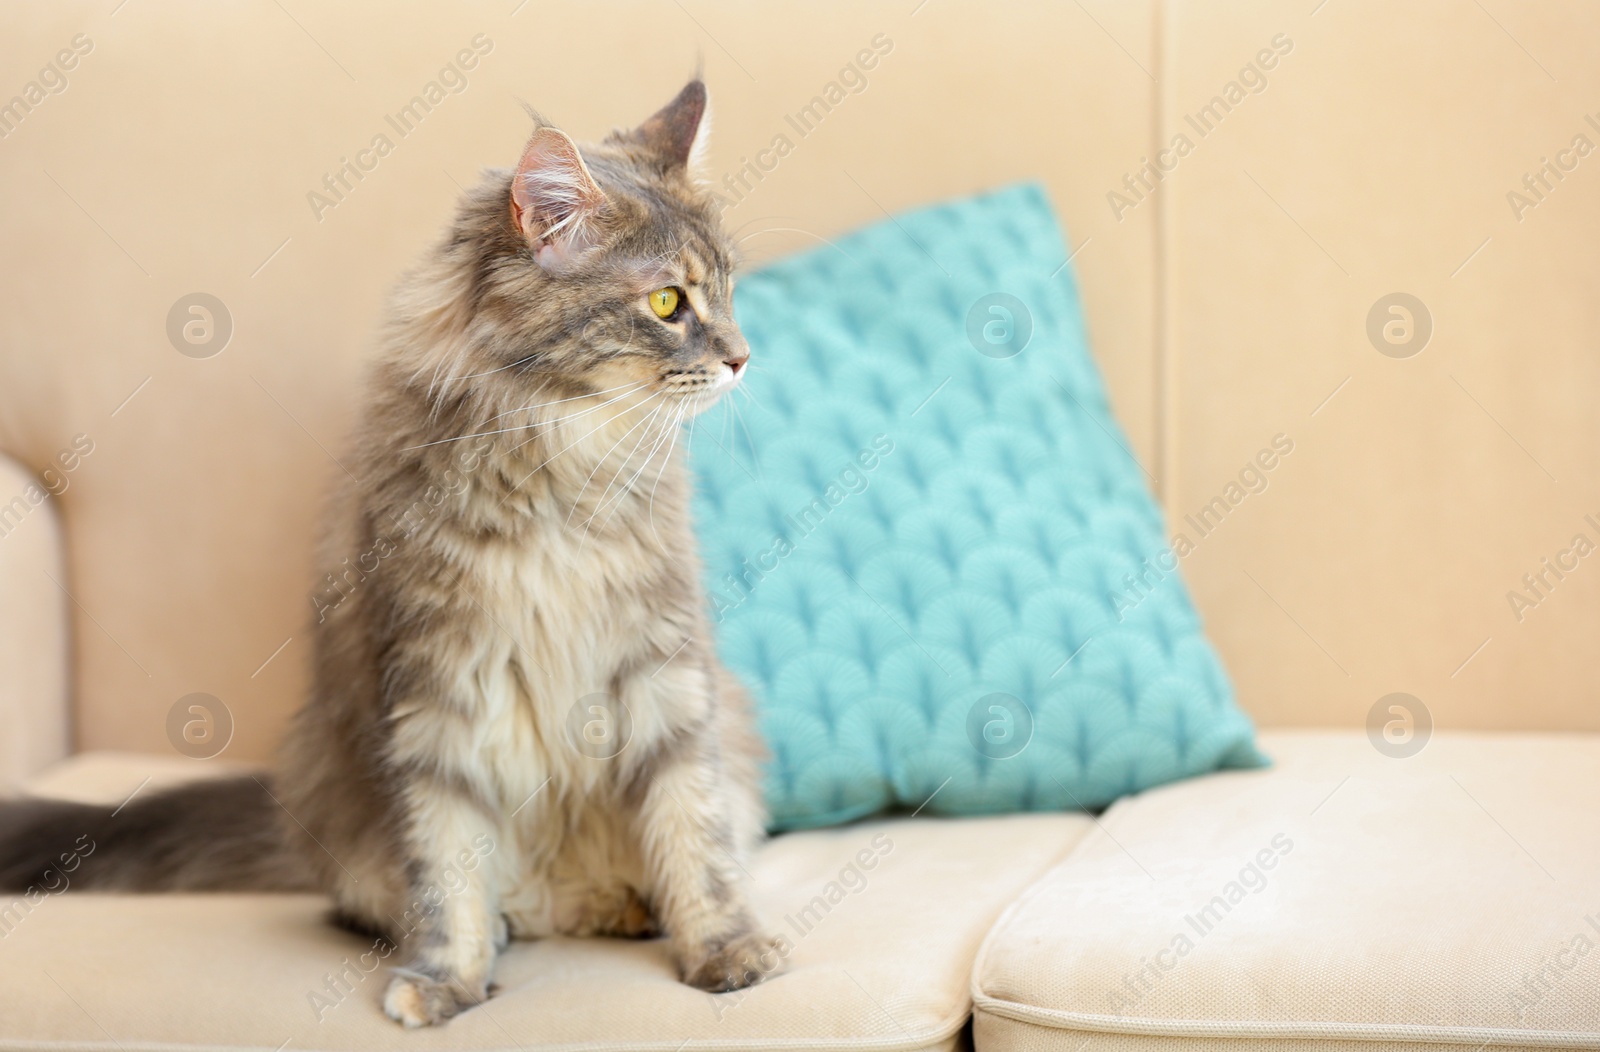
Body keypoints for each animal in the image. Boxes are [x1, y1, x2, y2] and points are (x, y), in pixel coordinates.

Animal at [0, 81, 780, 1023]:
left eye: (728, 295)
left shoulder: (666, 673)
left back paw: (622, 906)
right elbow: (445, 863)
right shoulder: (431, 690)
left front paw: (725, 948)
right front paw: (447, 977)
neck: (560, 466)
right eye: (668, 305)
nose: (742, 359)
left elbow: (693, 830)